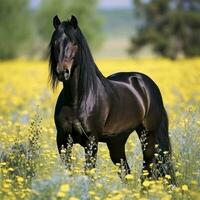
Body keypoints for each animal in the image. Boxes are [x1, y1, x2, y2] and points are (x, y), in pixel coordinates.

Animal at [49, 15, 176, 184]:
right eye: (55, 43)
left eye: (74, 43)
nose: (62, 72)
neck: (77, 100)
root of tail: (147, 84)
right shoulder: (62, 140)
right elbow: (68, 172)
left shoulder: (91, 141)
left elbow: (89, 172)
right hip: (116, 142)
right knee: (126, 171)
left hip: (148, 135)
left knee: (147, 168)